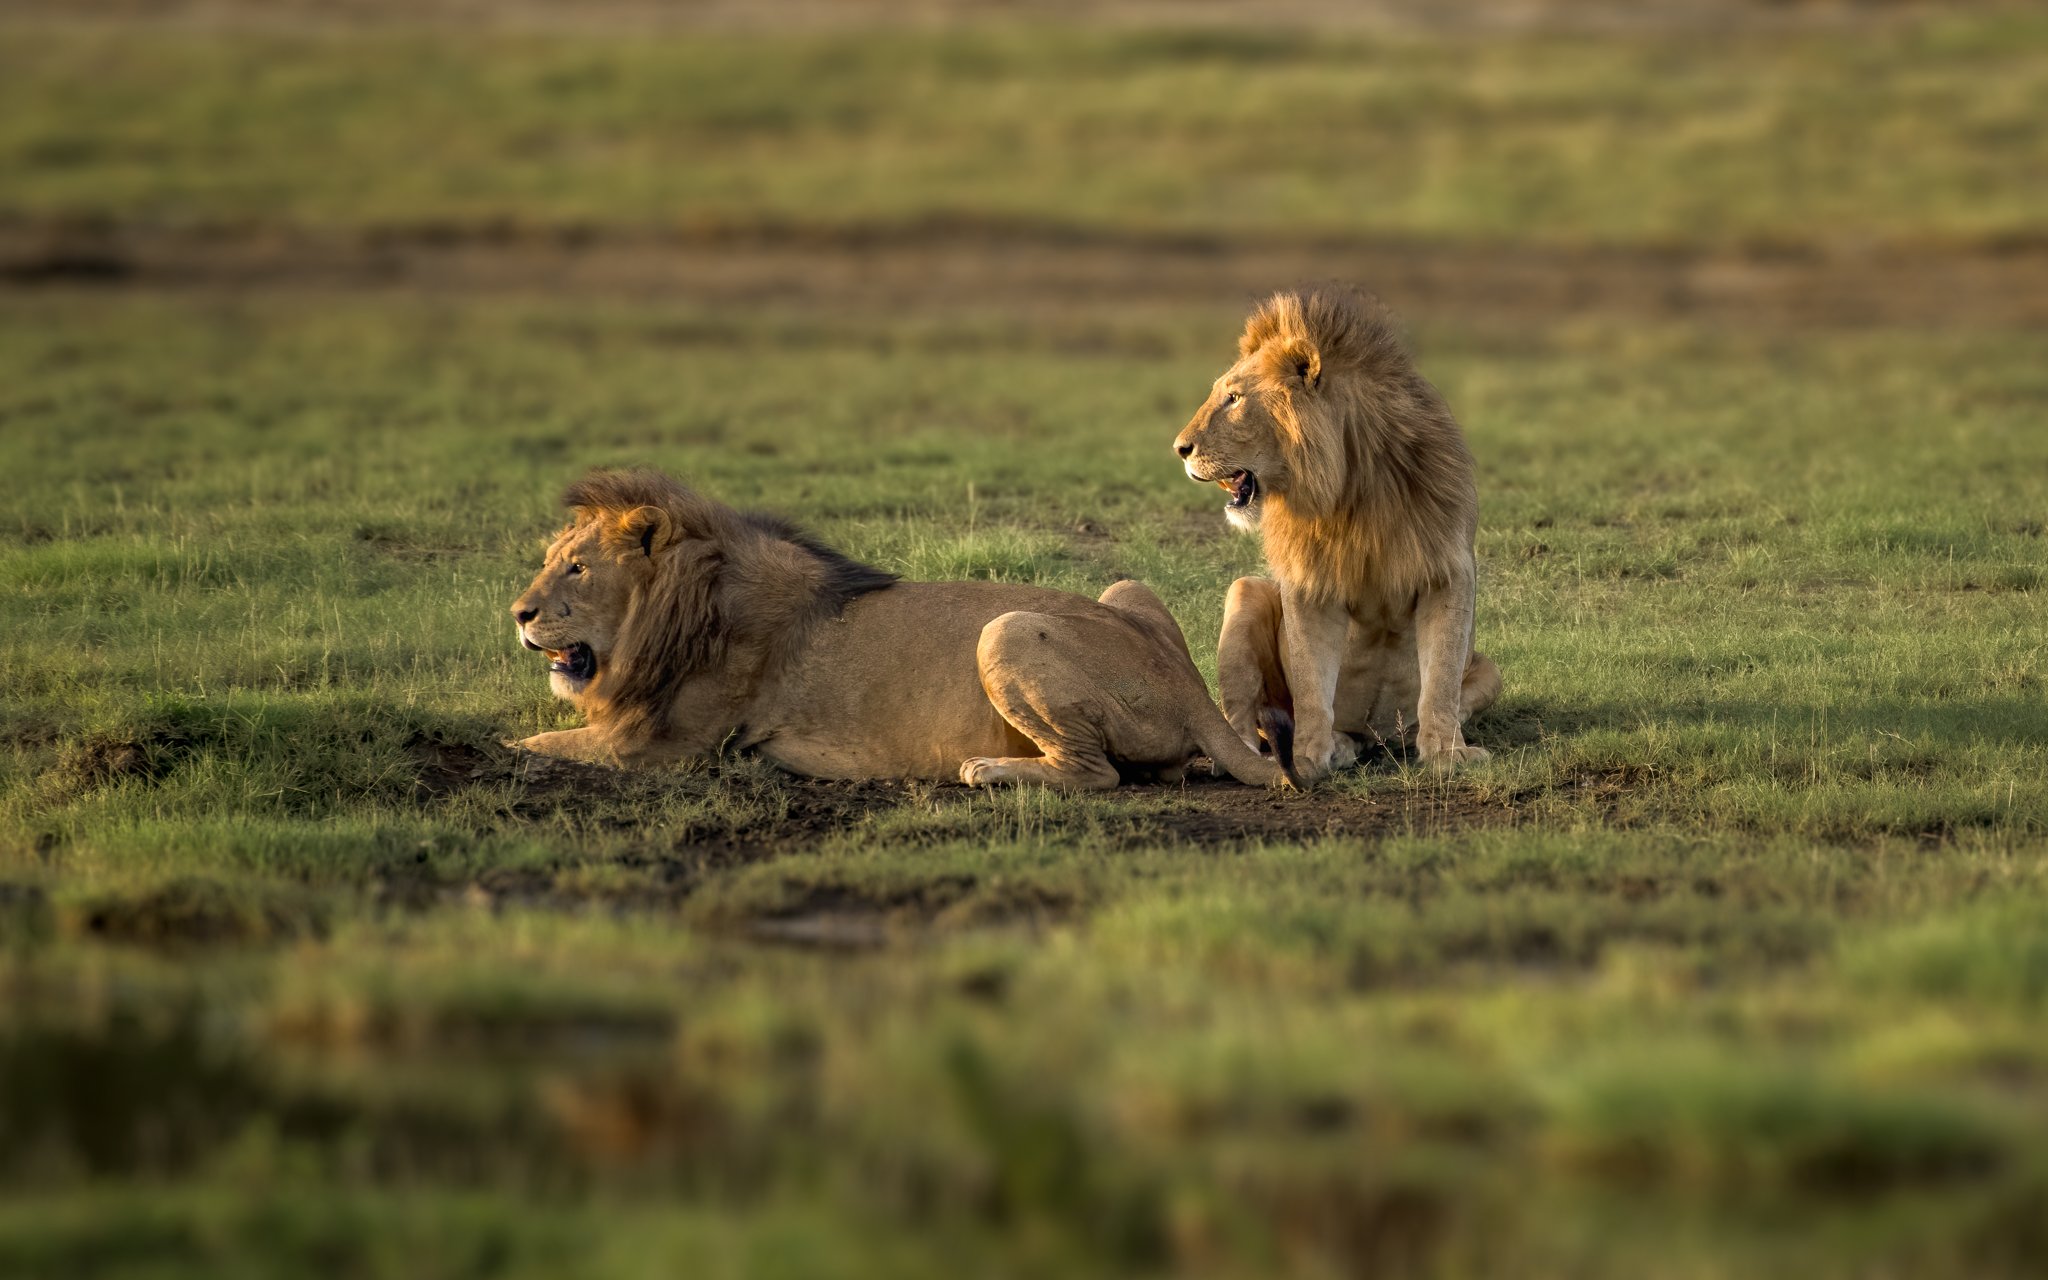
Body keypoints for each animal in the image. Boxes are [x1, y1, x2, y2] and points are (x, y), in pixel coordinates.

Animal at [508, 469, 1288, 790]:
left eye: (577, 568)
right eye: (550, 560)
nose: (518, 614)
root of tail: (1187, 688)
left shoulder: (663, 745)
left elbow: (525, 746)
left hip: (1004, 629)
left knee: (1097, 773)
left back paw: (990, 771)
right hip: (1126, 591)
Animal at [1171, 285, 1501, 783]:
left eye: (1233, 398)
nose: (1180, 448)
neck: (1352, 487)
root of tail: (1372, 737)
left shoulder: (1447, 570)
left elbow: (1442, 679)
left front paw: (1446, 752)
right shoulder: (1308, 585)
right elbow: (1311, 689)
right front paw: (1308, 757)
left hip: (1489, 672)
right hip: (1245, 593)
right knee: (1241, 721)